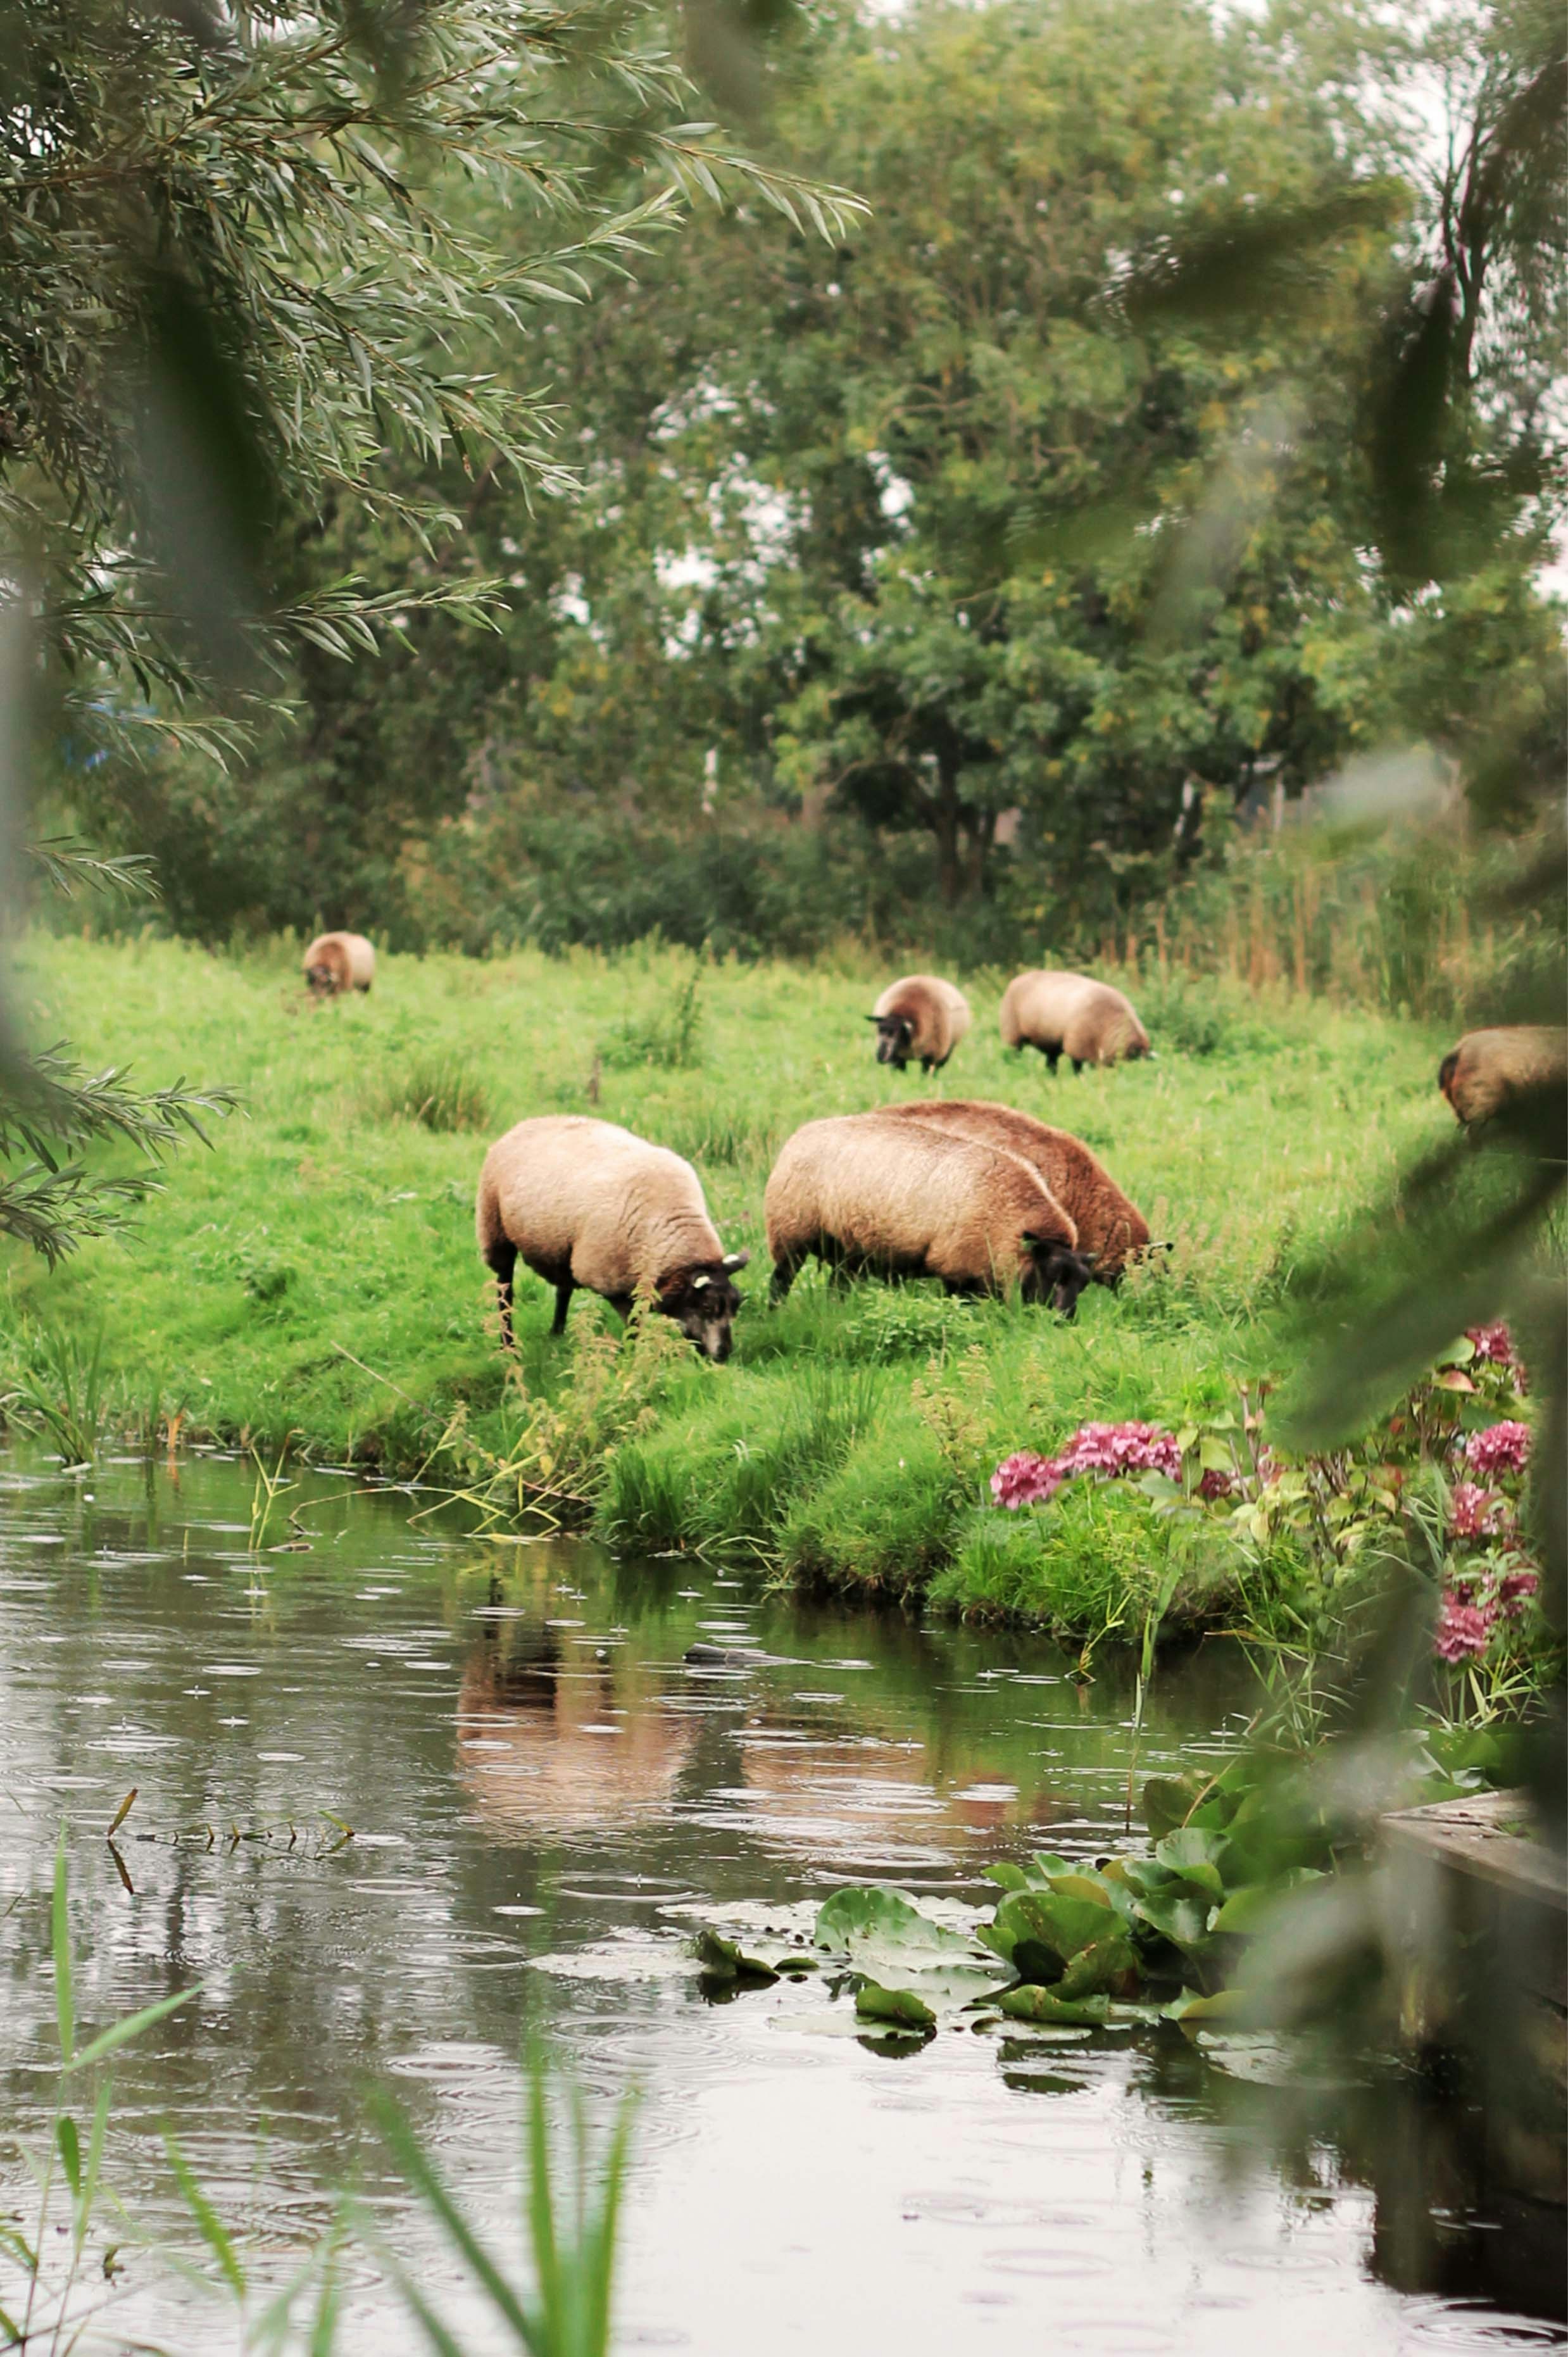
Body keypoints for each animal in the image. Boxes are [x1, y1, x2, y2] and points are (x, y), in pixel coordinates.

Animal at [475, 1115, 749, 1360]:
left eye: (736, 1305)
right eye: (707, 1307)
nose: (724, 1355)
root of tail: (527, 1123)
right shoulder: (612, 1281)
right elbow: (634, 1325)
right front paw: (630, 1359)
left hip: (565, 1247)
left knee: (563, 1290)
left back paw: (556, 1333)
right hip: (495, 1229)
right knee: (505, 1291)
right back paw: (508, 1345)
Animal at [763, 1111, 1093, 1317]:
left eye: (1084, 1284)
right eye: (1052, 1275)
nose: (1064, 1321)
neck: (1007, 1214)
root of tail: (800, 1134)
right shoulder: (957, 1267)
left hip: (848, 1250)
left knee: (837, 1286)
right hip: (791, 1232)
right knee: (780, 1281)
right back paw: (775, 1315)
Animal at [868, 974, 972, 1072]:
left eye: (896, 1033)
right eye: (879, 1030)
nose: (880, 1057)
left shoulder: (932, 1055)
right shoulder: (897, 1058)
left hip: (947, 1050)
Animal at [999, 969, 1150, 1071]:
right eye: (1134, 1060)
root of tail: (1015, 980)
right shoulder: (1077, 1047)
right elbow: (1078, 1070)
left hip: (1051, 1041)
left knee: (1051, 1062)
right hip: (1013, 1034)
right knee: (1014, 1054)